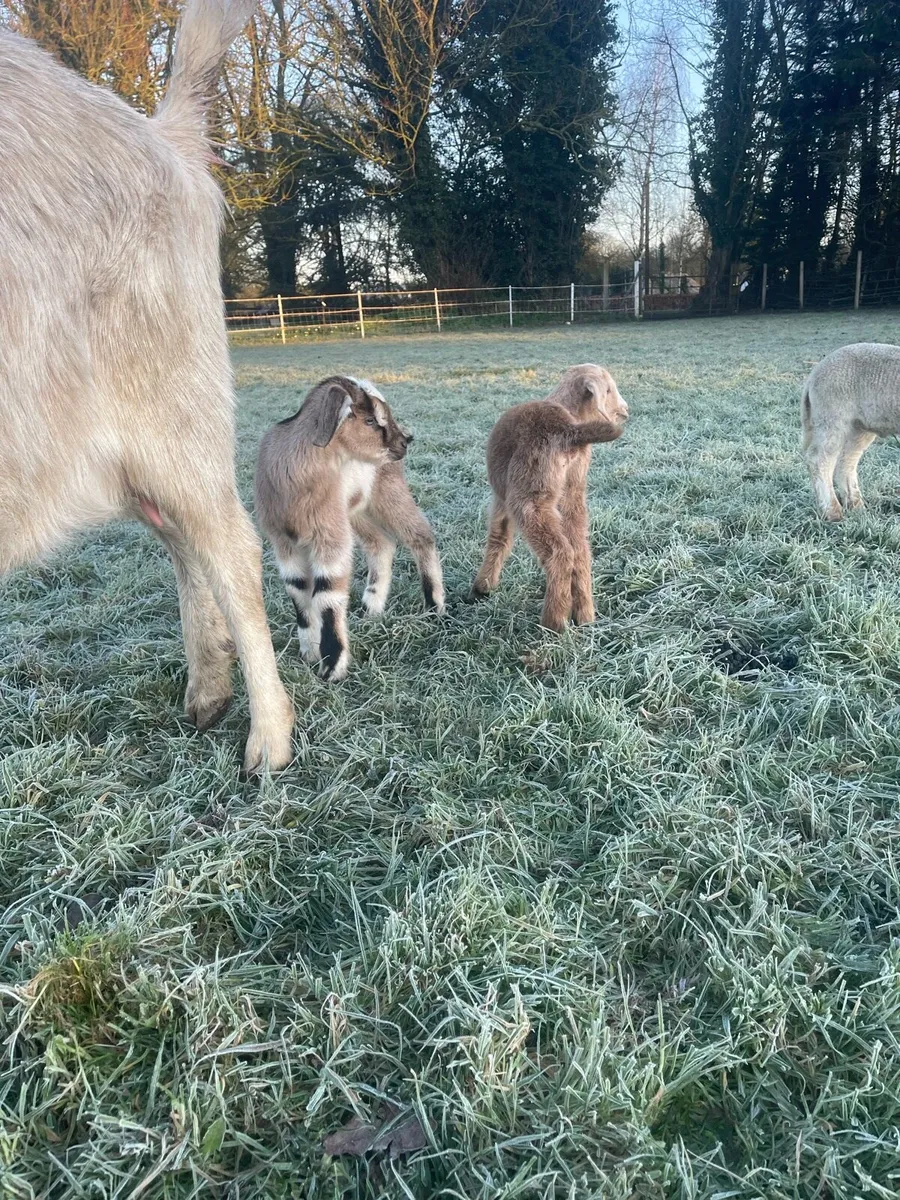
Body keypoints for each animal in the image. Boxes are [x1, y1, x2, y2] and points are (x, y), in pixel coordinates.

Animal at [0, 0, 294, 773]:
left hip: (171, 406)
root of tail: (165, 138)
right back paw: (209, 692)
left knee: (229, 546)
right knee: (182, 536)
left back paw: (269, 736)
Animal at [255, 376, 445, 681]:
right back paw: (372, 608)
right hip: (356, 512)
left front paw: (332, 668)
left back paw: (434, 607)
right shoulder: (283, 542)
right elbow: (298, 591)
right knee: (382, 543)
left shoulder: (330, 536)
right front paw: (309, 653)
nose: (404, 441)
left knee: (421, 535)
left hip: (387, 494)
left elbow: (327, 594)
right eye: (370, 420)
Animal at [471, 364, 628, 631]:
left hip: (530, 497)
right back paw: (584, 616)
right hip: (571, 496)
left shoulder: (501, 500)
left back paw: (553, 623)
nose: (626, 410)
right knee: (580, 550)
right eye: (608, 390)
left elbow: (498, 538)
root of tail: (569, 431)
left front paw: (482, 587)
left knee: (560, 553)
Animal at [801, 342, 900, 521]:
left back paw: (856, 507)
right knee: (819, 460)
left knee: (846, 462)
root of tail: (814, 374)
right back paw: (833, 512)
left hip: (859, 425)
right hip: (832, 416)